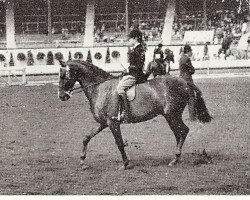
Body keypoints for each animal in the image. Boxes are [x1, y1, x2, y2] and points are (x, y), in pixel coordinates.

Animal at [58, 60, 213, 170]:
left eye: (63, 76)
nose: (61, 96)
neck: (100, 88)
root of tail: (183, 81)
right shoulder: (103, 123)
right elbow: (86, 138)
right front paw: (82, 162)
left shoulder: (113, 123)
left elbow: (119, 143)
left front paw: (126, 164)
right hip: (171, 116)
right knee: (179, 133)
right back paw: (176, 158)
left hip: (172, 115)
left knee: (183, 131)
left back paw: (175, 159)